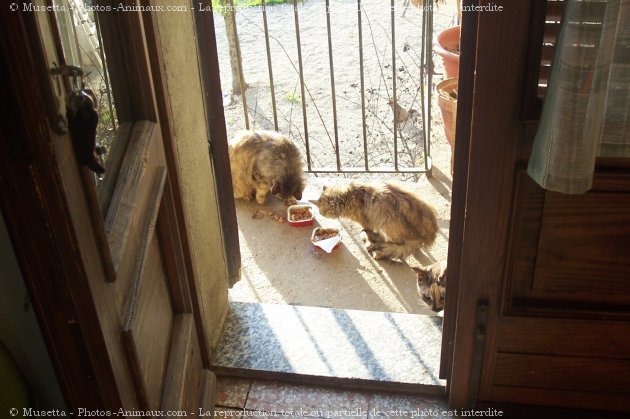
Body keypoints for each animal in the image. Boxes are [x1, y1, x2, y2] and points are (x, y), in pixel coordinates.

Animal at [312, 181, 440, 260]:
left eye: (323, 211)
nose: (322, 214)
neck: (348, 195)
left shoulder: (365, 222)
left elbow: (367, 231)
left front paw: (369, 240)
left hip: (388, 224)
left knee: (399, 245)